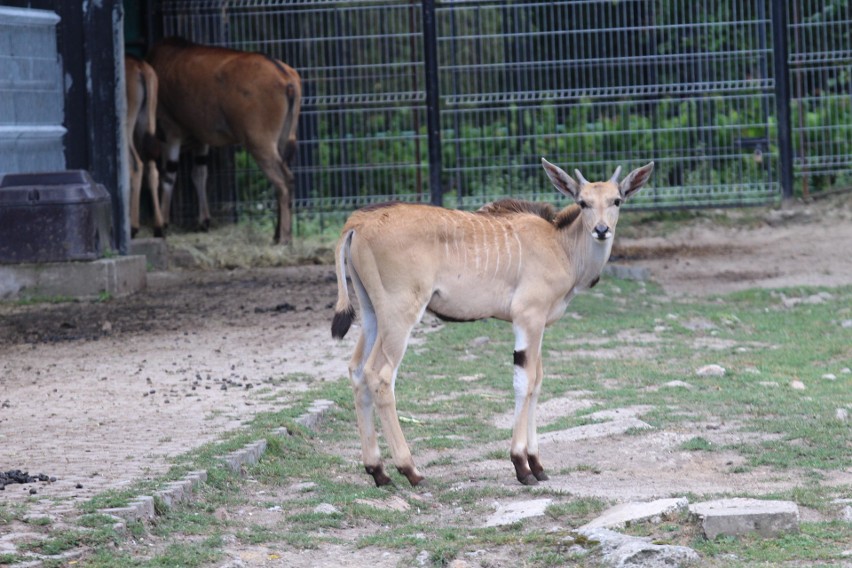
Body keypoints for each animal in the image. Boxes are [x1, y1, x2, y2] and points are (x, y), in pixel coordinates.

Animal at [147, 38, 302, 243]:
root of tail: (286, 78)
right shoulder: (201, 139)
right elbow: (199, 174)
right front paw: (203, 221)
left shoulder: (170, 132)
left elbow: (168, 176)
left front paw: (162, 224)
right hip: (280, 143)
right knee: (285, 182)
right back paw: (279, 235)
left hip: (259, 144)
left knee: (284, 181)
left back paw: (284, 238)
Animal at [332, 158, 652, 486]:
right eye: (583, 202)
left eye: (616, 200)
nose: (601, 230)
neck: (559, 244)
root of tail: (358, 223)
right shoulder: (527, 316)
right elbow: (524, 382)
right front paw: (521, 465)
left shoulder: (539, 325)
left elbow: (537, 381)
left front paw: (537, 464)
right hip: (400, 315)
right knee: (380, 376)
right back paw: (411, 470)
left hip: (372, 314)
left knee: (357, 370)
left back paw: (378, 470)